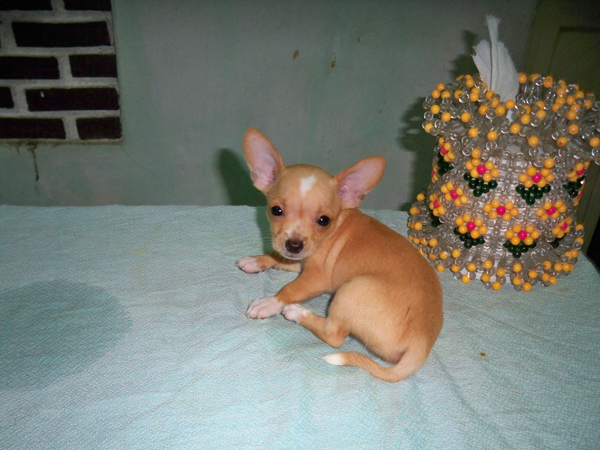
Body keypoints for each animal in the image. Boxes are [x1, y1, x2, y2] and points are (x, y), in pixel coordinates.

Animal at [236, 128, 443, 382]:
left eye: (323, 220)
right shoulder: (300, 260)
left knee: (333, 336)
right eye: (276, 210)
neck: (337, 226)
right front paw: (256, 260)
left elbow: (290, 288)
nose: (294, 245)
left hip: (350, 291)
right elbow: (277, 256)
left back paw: (297, 312)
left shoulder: (316, 278)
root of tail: (421, 346)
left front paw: (269, 302)